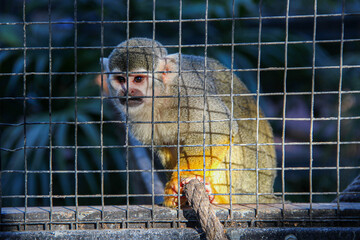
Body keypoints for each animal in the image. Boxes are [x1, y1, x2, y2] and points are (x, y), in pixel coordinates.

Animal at [101, 37, 278, 206]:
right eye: (121, 79)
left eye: (138, 79)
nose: (126, 92)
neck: (160, 97)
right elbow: (167, 146)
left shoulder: (189, 93)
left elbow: (219, 127)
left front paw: (182, 176)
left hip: (246, 184)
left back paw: (218, 198)